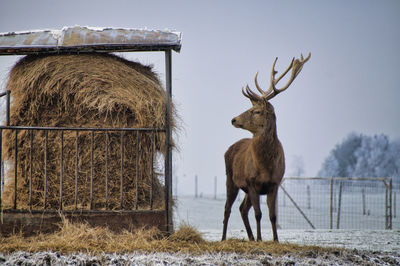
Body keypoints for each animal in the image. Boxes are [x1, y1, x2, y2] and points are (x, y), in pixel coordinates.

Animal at [222, 53, 310, 242]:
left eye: (256, 111)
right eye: (251, 107)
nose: (233, 119)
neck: (265, 167)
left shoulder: (275, 183)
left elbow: (272, 215)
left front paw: (275, 240)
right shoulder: (251, 182)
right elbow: (258, 213)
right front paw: (261, 239)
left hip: (244, 188)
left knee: (242, 208)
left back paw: (250, 237)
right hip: (230, 179)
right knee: (228, 209)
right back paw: (224, 238)